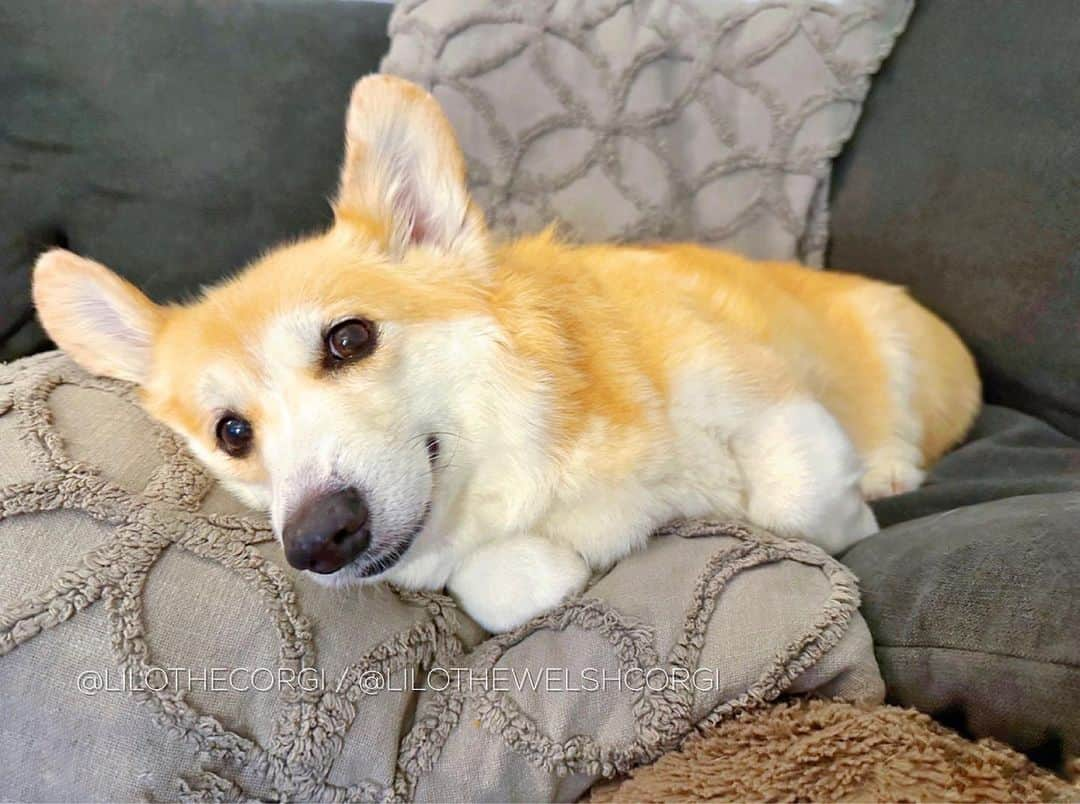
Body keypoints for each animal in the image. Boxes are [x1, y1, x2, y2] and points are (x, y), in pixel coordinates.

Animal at [31, 75, 980, 635]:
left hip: (895, 347)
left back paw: (889, 465)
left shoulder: (765, 397)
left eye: (349, 338)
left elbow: (795, 505)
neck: (521, 449)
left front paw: (852, 523)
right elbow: (510, 587)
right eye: (231, 432)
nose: (318, 542)